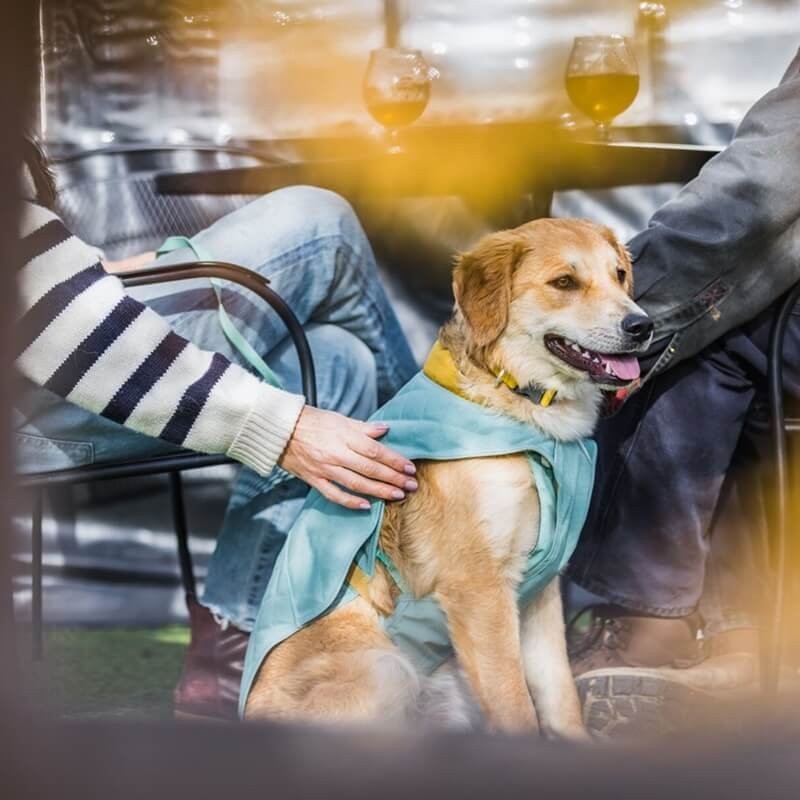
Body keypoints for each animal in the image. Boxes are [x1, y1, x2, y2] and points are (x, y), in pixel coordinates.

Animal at [243, 218, 653, 738]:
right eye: (564, 282)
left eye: (619, 275)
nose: (642, 325)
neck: (522, 408)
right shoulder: (479, 590)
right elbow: (516, 706)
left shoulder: (539, 595)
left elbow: (560, 702)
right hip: (387, 668)